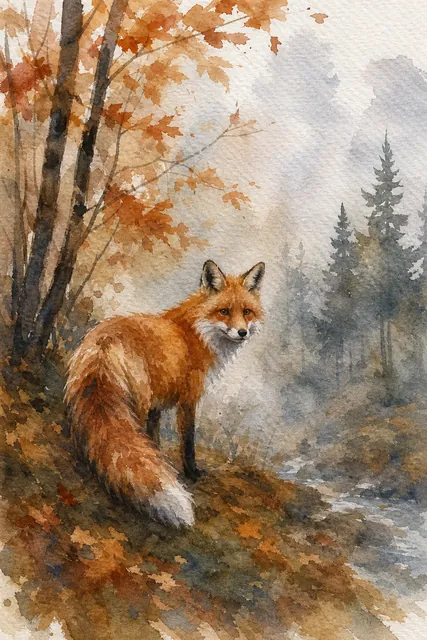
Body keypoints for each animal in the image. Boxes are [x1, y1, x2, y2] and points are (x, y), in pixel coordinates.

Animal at [65, 260, 265, 527]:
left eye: (247, 312)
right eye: (223, 311)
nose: (242, 332)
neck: (198, 333)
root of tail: (103, 341)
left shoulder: (157, 404)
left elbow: (153, 438)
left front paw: (160, 461)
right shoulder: (189, 398)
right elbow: (188, 441)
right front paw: (192, 473)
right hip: (137, 401)